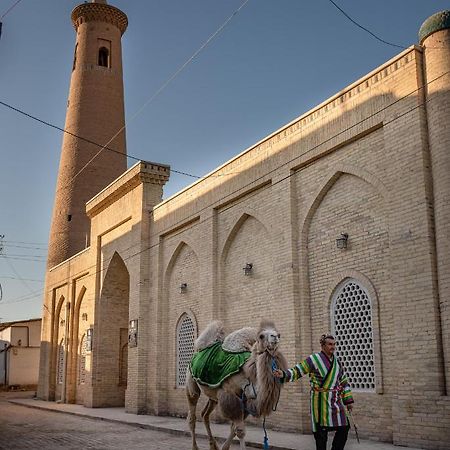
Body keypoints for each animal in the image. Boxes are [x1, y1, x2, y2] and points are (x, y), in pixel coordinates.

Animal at [186, 320, 288, 450]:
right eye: (261, 336)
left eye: (278, 334)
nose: (275, 336)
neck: (248, 374)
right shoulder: (230, 396)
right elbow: (240, 431)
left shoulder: (245, 401)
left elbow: (233, 429)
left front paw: (224, 447)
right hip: (191, 384)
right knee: (192, 417)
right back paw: (195, 446)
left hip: (213, 395)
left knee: (205, 414)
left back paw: (213, 445)